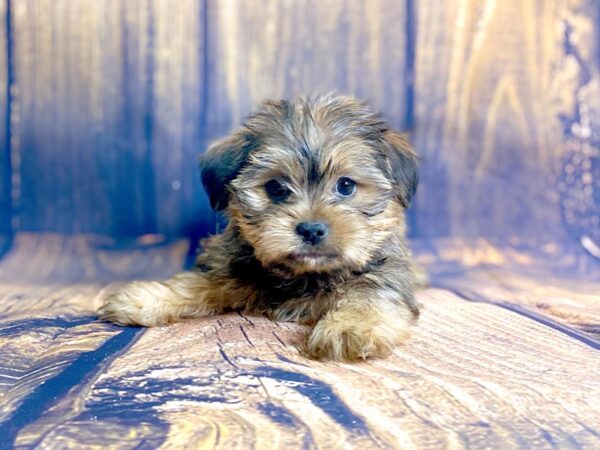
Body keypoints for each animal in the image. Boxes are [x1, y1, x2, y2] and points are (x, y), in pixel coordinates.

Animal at [98, 95, 420, 362]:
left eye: (346, 186)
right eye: (276, 187)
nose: (312, 229)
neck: (304, 275)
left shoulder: (385, 272)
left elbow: (370, 294)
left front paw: (349, 327)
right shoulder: (231, 263)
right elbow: (197, 281)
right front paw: (146, 298)